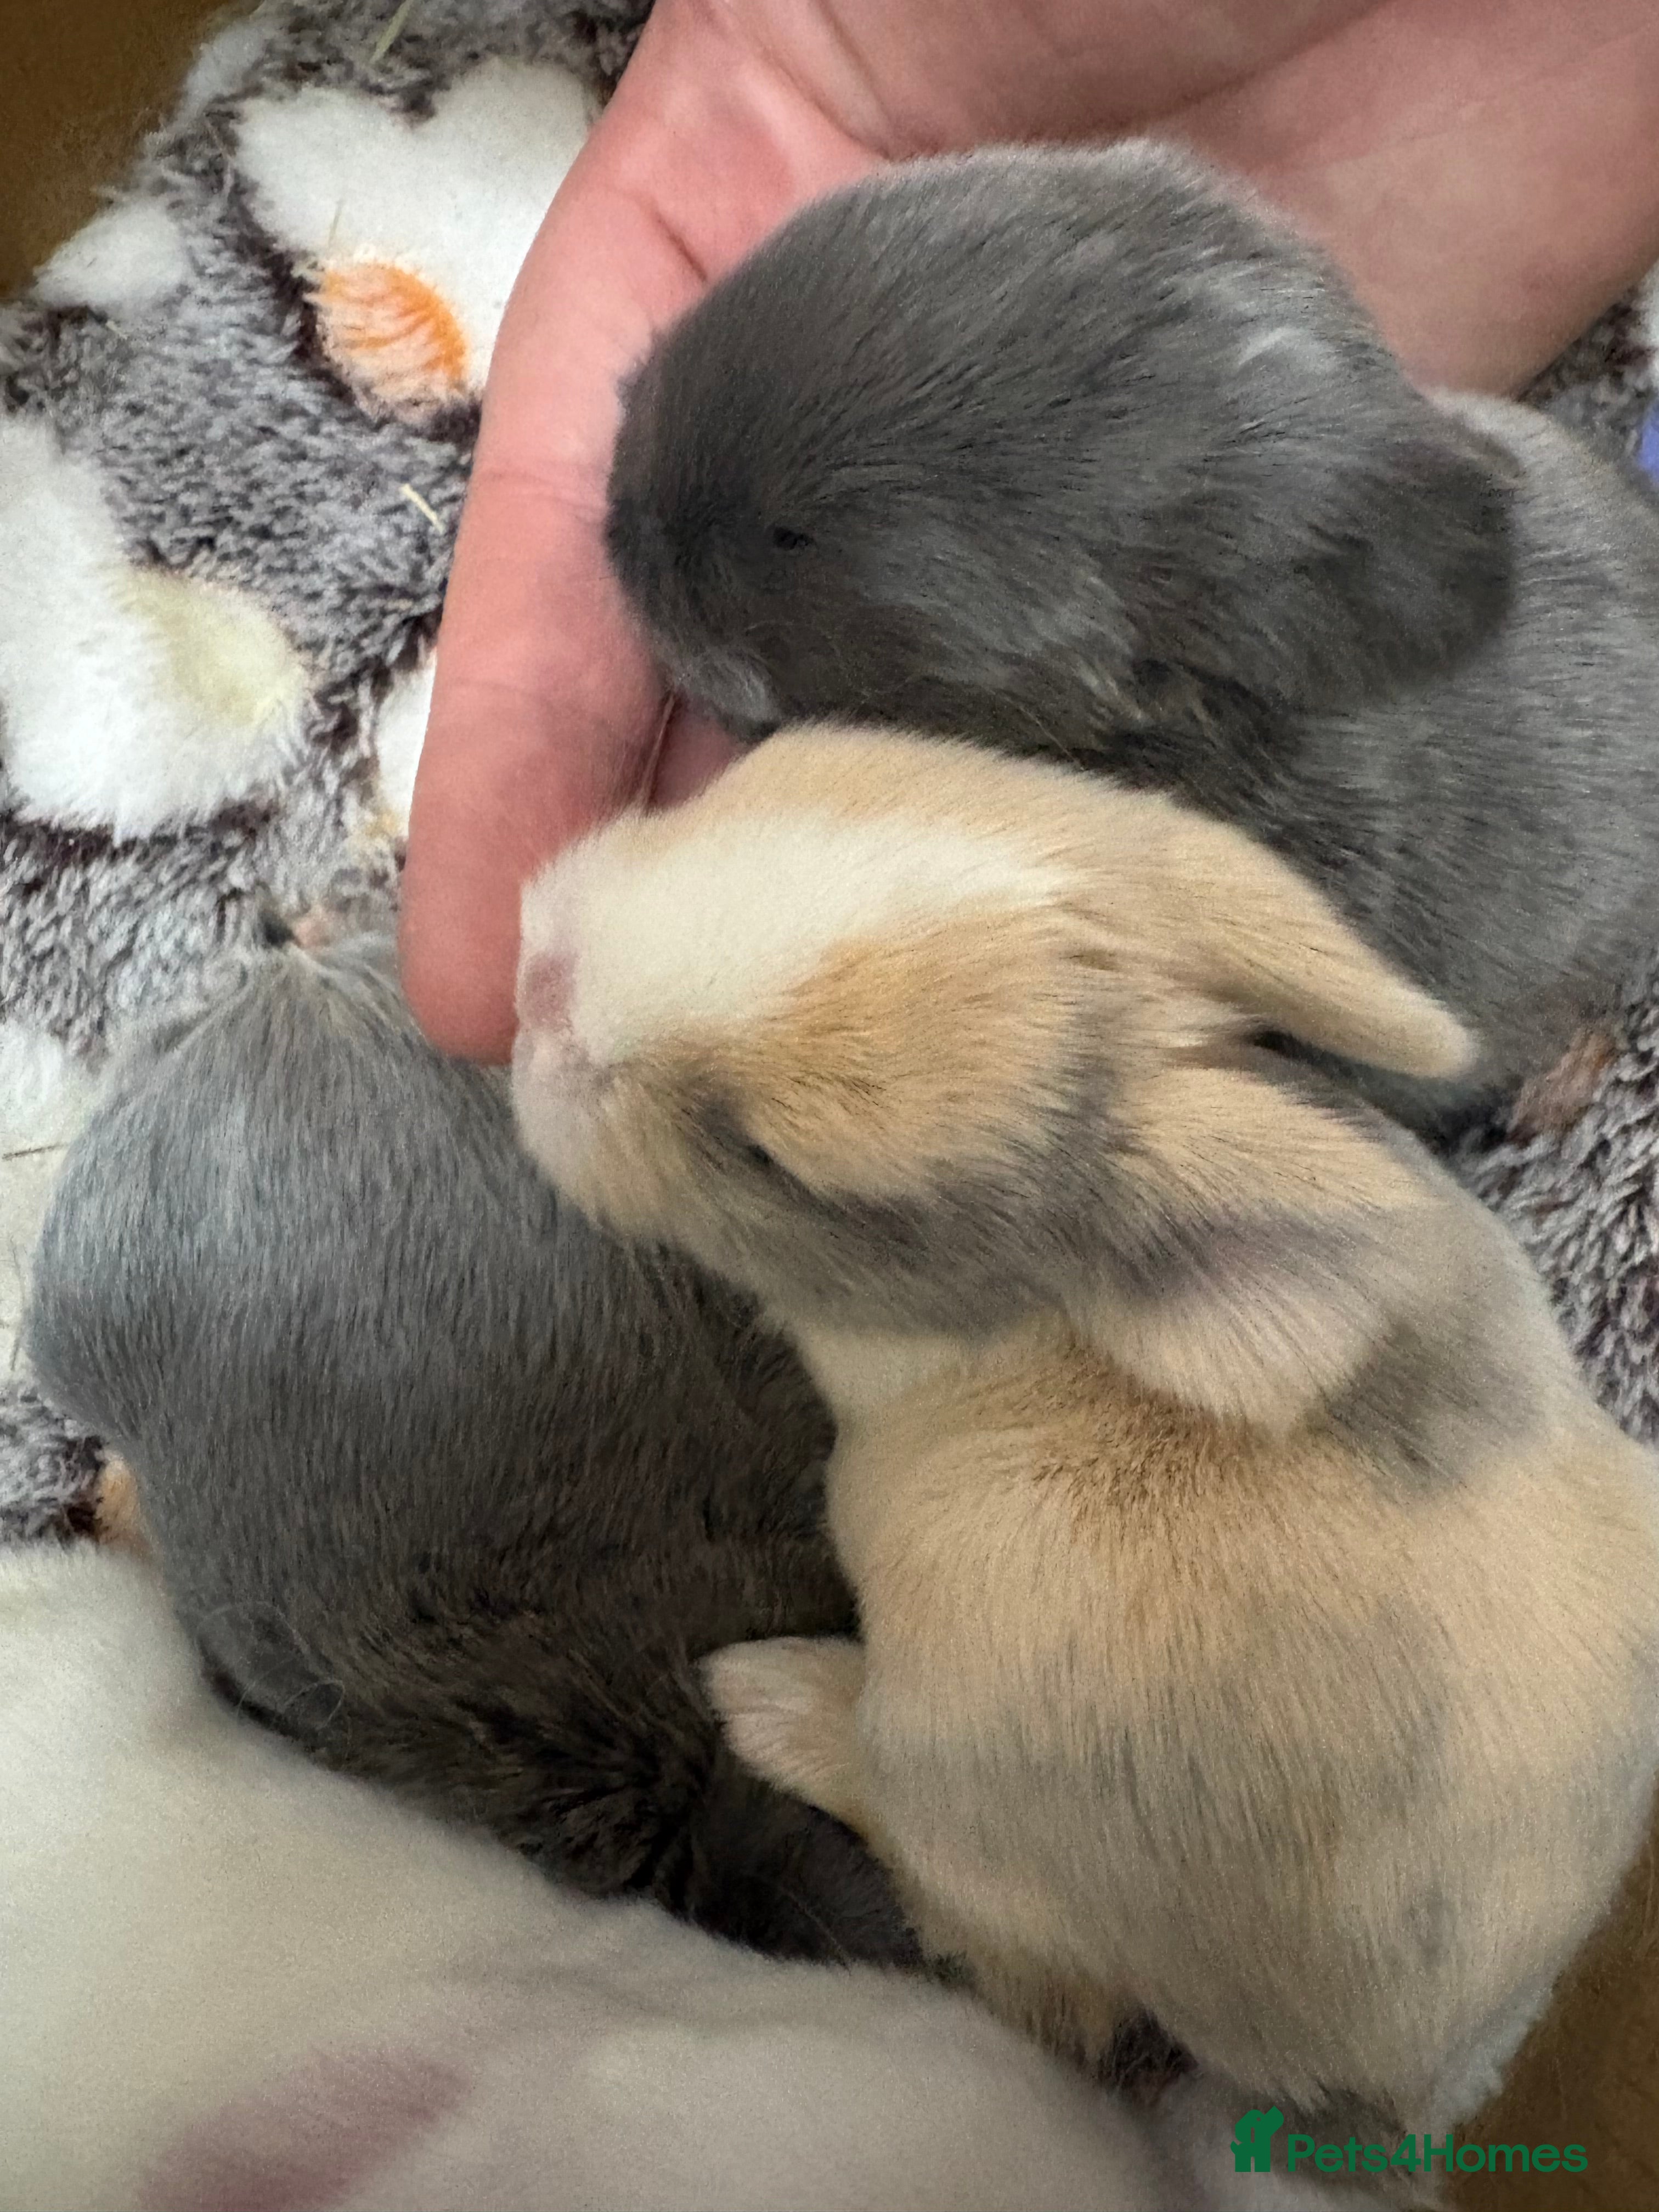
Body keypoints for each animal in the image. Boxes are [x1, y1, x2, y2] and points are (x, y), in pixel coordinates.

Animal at [509, 723, 1659, 2163]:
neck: (1034, 1316)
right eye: (766, 768)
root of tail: (1401, 2073)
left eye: (768, 1158)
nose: (539, 979)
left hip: (951, 1755)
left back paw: (768, 1698)